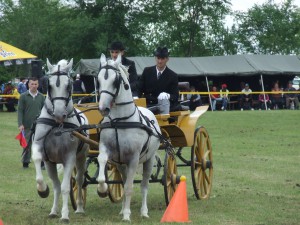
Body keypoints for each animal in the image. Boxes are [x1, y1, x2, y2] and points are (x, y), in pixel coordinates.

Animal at [31, 58, 89, 223]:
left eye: (68, 85)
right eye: (48, 85)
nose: (58, 114)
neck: (57, 125)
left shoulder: (69, 157)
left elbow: (65, 187)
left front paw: (64, 215)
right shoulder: (41, 151)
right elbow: (37, 161)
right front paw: (43, 190)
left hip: (81, 158)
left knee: (79, 180)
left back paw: (80, 208)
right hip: (51, 163)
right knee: (56, 185)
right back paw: (53, 211)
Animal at [96, 53, 162, 221]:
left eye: (115, 81)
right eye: (98, 80)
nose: (103, 108)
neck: (120, 121)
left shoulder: (133, 158)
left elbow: (129, 187)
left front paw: (127, 215)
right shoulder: (108, 151)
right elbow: (102, 163)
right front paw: (102, 189)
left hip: (149, 160)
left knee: (144, 185)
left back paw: (143, 211)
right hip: (121, 164)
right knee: (125, 180)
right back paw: (122, 209)